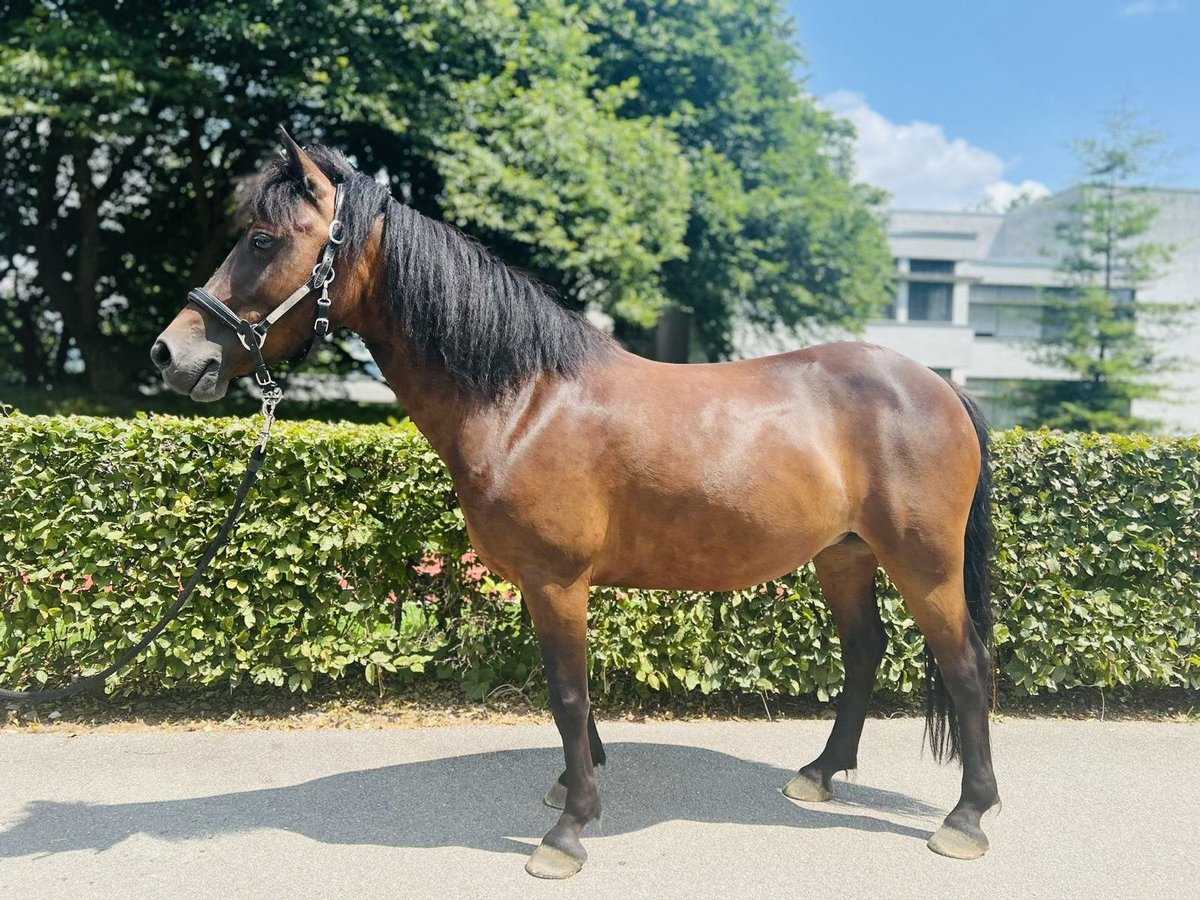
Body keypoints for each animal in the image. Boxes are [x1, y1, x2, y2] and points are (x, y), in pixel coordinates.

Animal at [154, 133, 1003, 883]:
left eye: (262, 240)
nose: (173, 353)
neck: (525, 400)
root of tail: (938, 388)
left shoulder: (556, 580)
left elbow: (567, 695)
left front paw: (568, 832)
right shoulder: (548, 585)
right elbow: (566, 695)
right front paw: (572, 785)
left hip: (923, 565)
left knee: (966, 666)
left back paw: (966, 817)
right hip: (845, 555)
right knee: (865, 652)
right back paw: (820, 774)